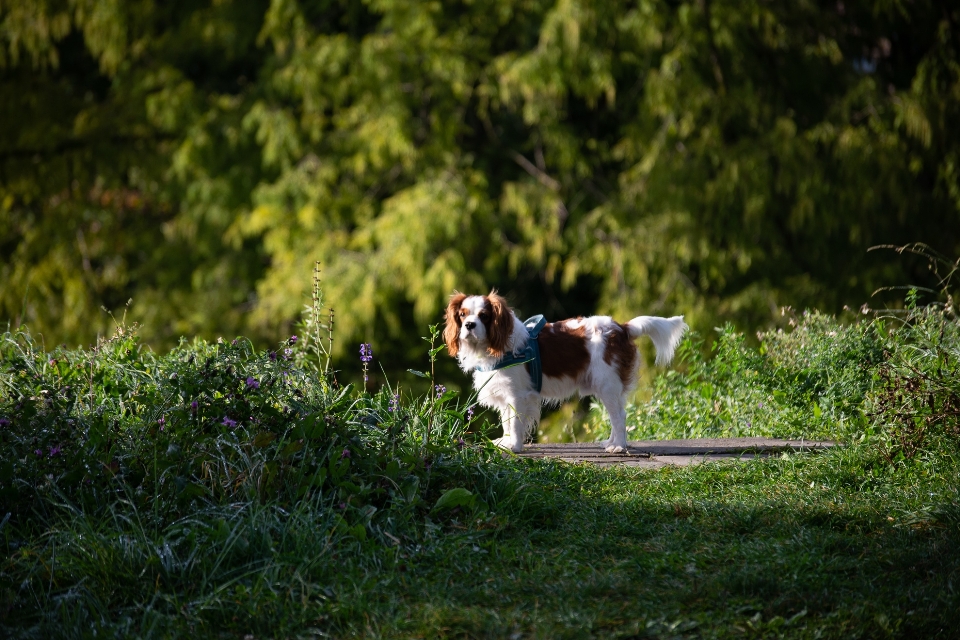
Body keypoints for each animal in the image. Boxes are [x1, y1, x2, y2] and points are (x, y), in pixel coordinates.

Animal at [446, 292, 688, 452]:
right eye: (462, 315)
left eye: (484, 316)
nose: (469, 325)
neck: (492, 347)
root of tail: (621, 328)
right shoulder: (505, 394)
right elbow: (507, 421)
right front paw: (505, 442)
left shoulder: (518, 395)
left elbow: (514, 423)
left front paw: (514, 446)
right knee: (616, 414)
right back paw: (611, 442)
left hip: (607, 384)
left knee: (619, 415)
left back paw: (618, 446)